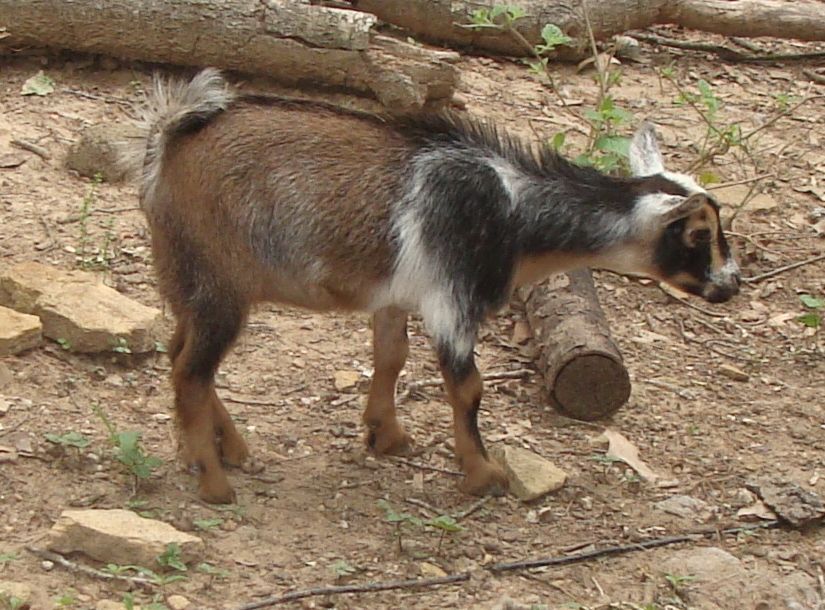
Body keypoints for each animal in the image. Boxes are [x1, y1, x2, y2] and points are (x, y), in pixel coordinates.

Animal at [124, 69, 740, 503]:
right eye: (699, 233)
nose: (731, 285)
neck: (515, 211)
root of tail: (168, 139)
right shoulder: (453, 300)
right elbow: (467, 388)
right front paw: (484, 474)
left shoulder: (398, 297)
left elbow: (391, 357)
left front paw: (386, 437)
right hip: (219, 282)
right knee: (191, 371)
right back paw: (214, 483)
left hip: (186, 275)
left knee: (181, 355)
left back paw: (231, 450)